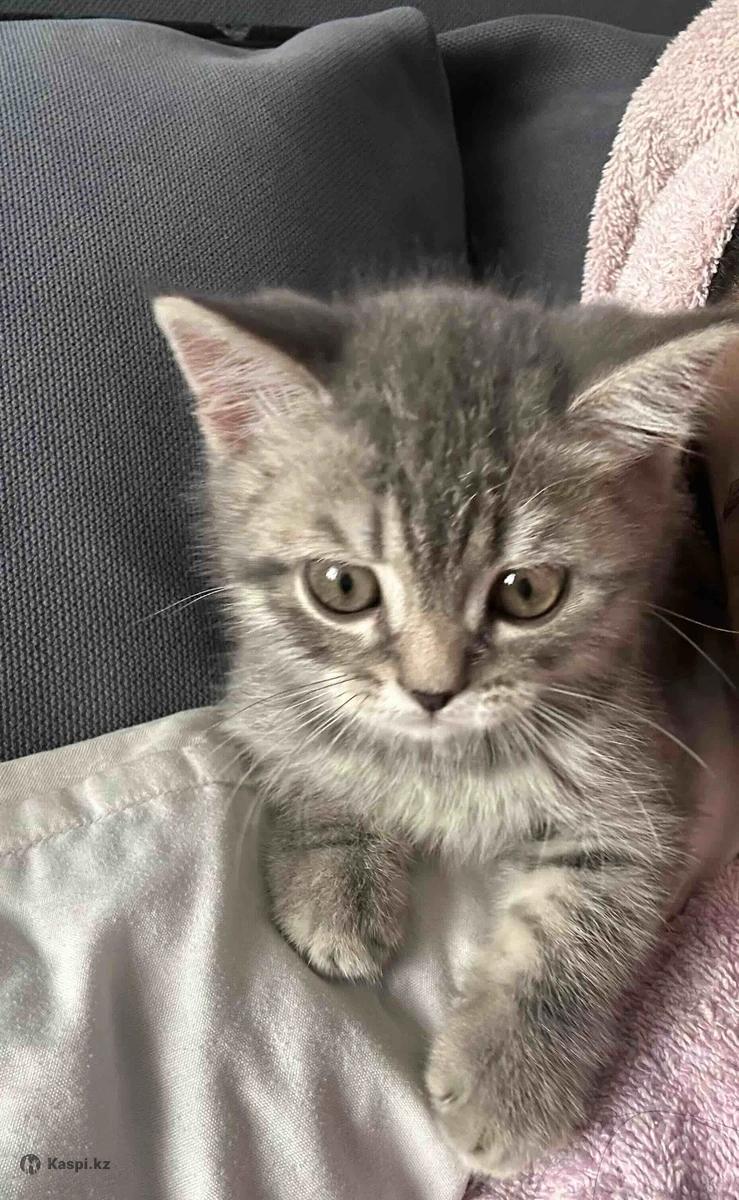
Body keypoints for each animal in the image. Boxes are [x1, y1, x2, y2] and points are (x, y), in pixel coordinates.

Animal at [153, 280, 739, 1179]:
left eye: (527, 591)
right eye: (342, 586)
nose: (433, 690)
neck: (443, 759)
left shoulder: (642, 781)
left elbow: (579, 924)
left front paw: (509, 1077)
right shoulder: (263, 685)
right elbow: (307, 754)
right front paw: (335, 879)